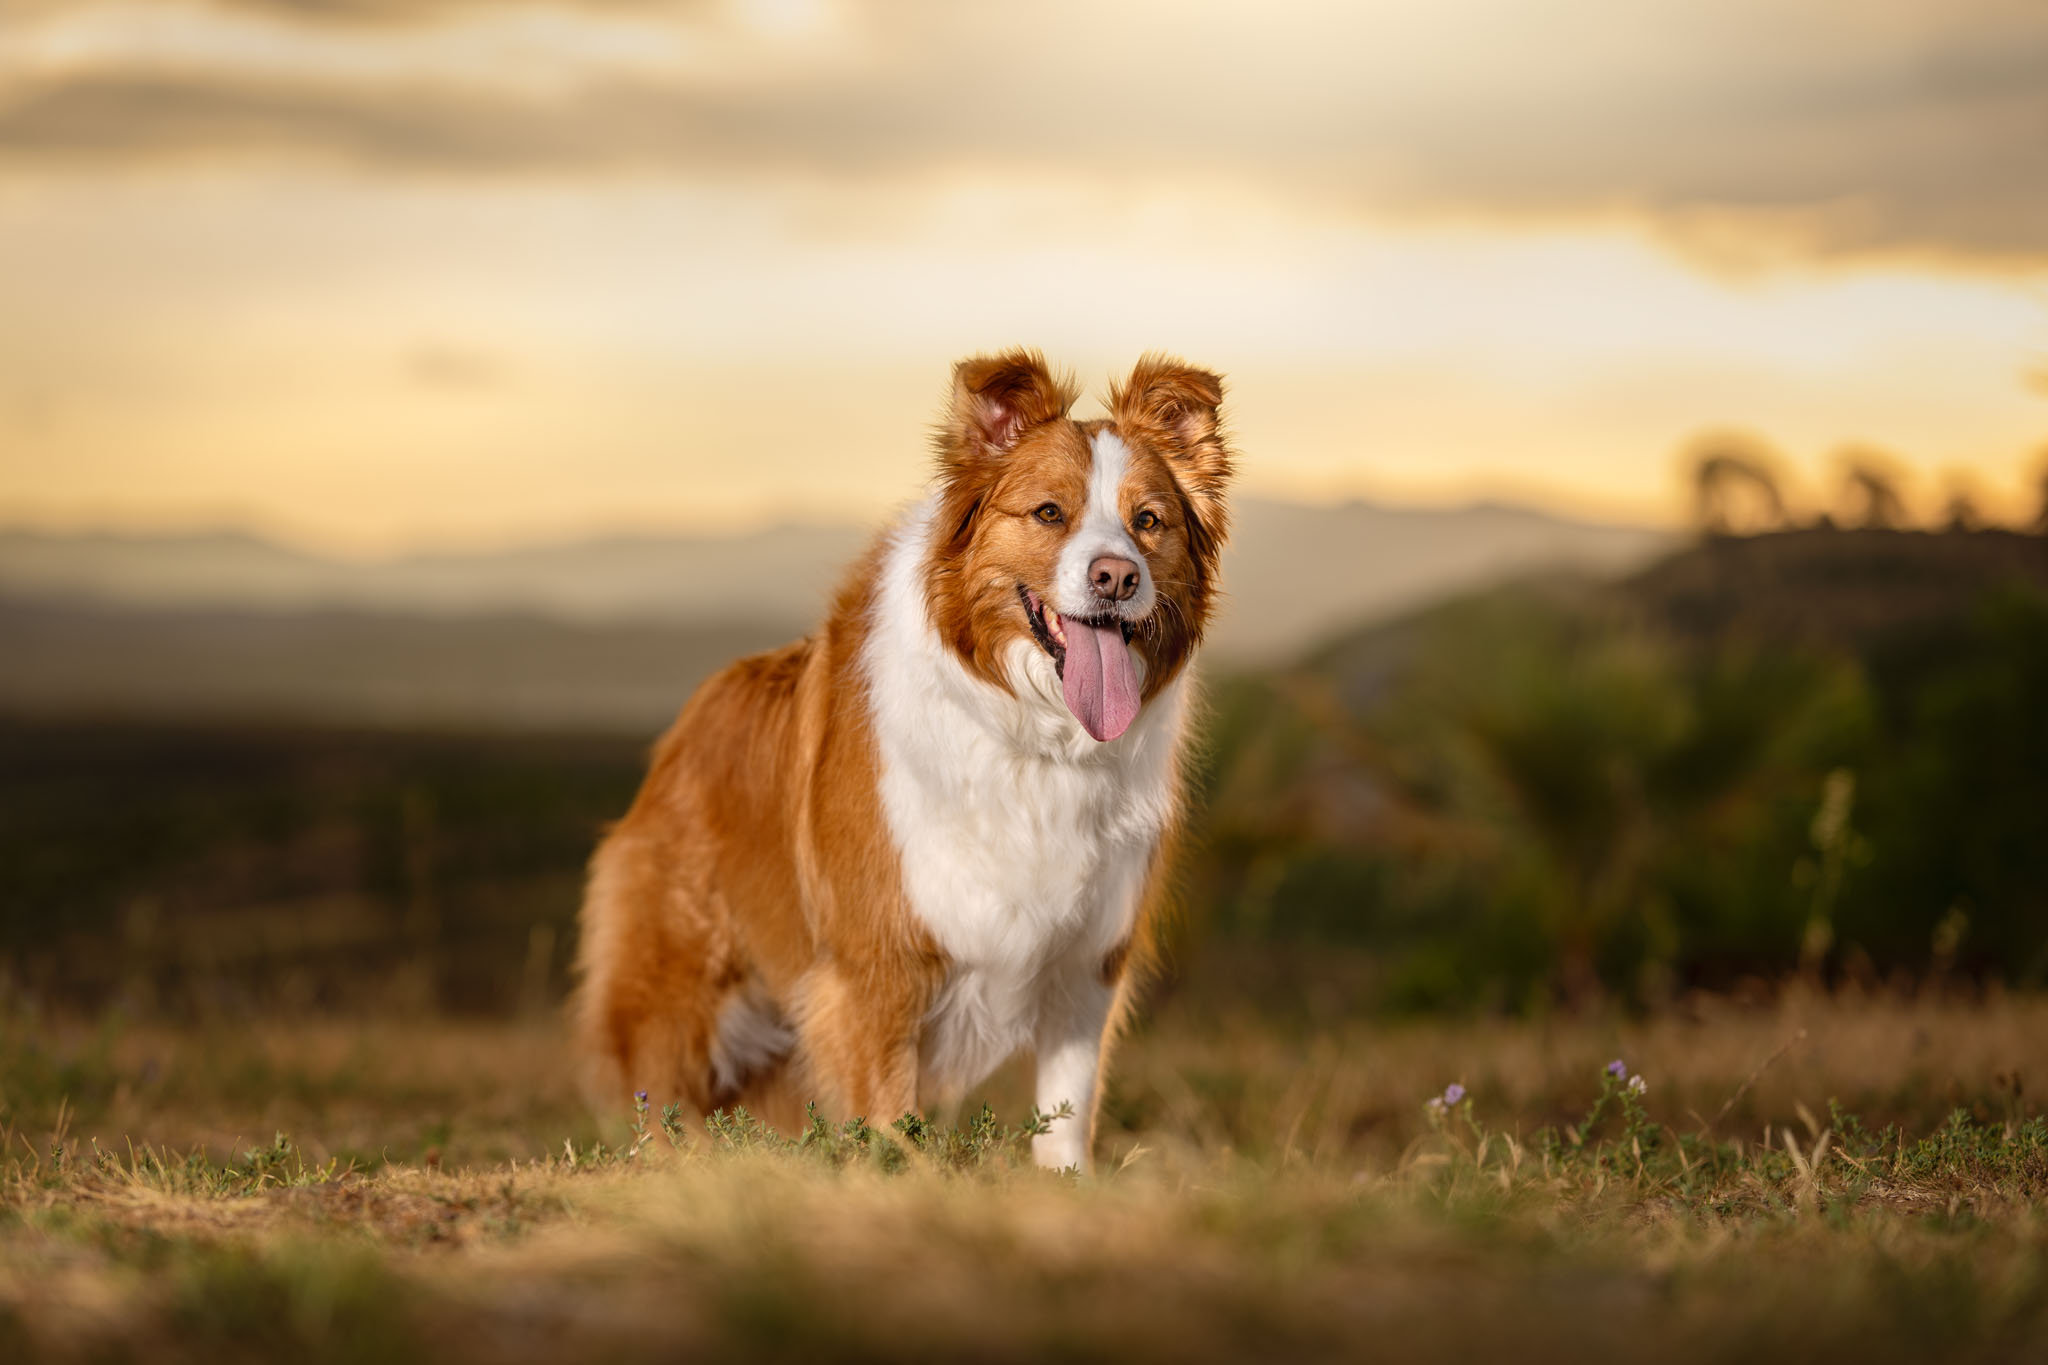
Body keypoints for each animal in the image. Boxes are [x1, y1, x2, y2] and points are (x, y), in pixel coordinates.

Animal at [573, 347, 1228, 1170]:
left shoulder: (1087, 964)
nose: (1117, 576)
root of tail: (683, 731)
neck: (1035, 736)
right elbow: (886, 1115)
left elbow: (1066, 1115)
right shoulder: (877, 964)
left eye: (1148, 522)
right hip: (679, 991)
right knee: (659, 1097)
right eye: (1050, 513)